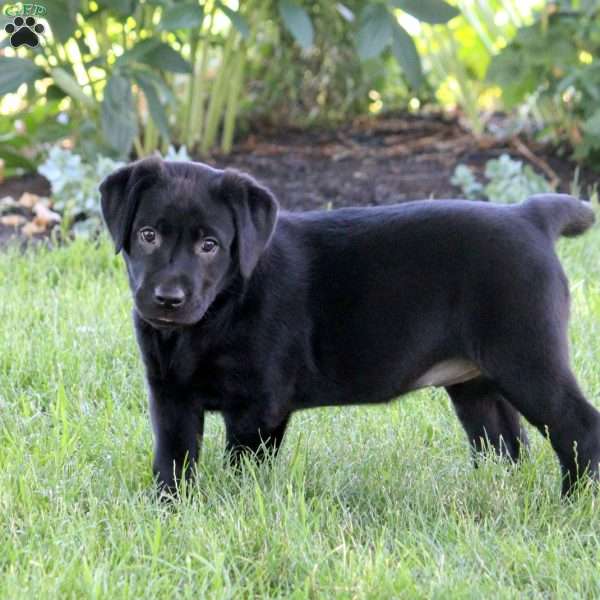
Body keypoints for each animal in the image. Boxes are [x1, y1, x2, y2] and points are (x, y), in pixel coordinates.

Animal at [101, 157, 596, 494]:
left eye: (210, 245)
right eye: (147, 236)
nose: (168, 299)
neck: (218, 311)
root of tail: (530, 215)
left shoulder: (258, 406)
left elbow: (242, 469)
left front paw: (235, 506)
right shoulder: (171, 397)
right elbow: (172, 462)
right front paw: (169, 511)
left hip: (527, 360)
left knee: (579, 428)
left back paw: (572, 502)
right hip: (475, 382)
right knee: (505, 443)